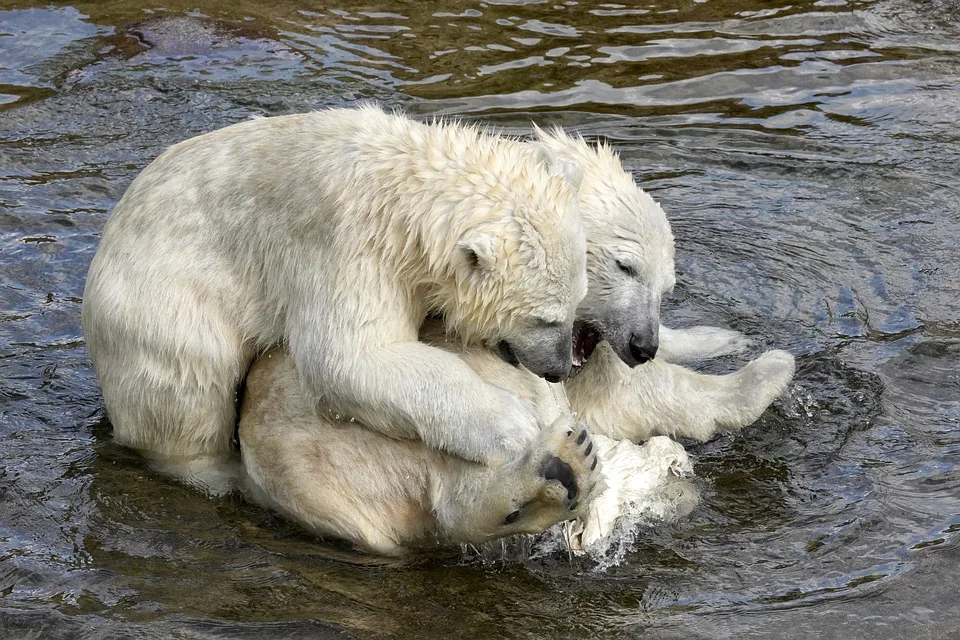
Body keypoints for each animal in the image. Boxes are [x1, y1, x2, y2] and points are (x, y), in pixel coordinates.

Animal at [82, 105, 588, 490]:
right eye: (544, 319)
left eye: (575, 306)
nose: (558, 369)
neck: (405, 191)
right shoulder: (350, 248)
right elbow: (351, 357)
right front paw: (514, 425)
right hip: (165, 303)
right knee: (188, 391)